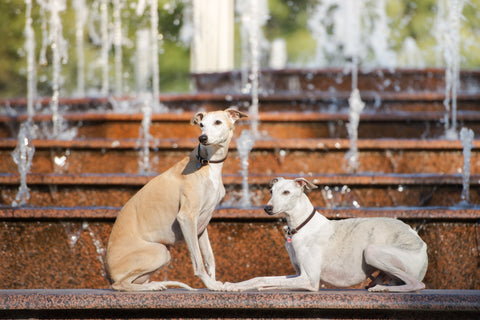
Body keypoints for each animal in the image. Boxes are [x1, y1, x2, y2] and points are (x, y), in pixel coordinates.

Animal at [105, 107, 248, 290]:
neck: (207, 163)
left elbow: (209, 258)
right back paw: (151, 287)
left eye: (218, 122)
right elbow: (198, 261)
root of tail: (109, 272)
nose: (202, 138)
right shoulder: (186, 218)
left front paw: (214, 282)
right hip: (160, 252)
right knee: (120, 284)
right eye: (201, 124)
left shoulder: (202, 223)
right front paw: (211, 284)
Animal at [224, 178, 428, 292]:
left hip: (372, 251)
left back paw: (380, 289)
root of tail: (422, 244)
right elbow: (260, 278)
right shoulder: (297, 273)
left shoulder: (310, 279)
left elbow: (267, 281)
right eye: (271, 191)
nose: (267, 208)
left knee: (417, 285)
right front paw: (233, 286)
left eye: (286, 192)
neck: (302, 226)